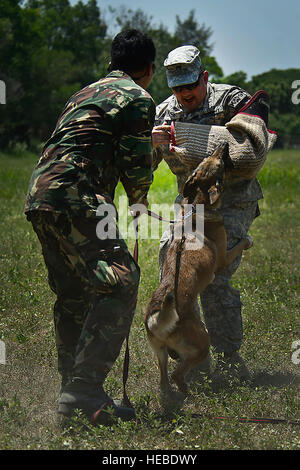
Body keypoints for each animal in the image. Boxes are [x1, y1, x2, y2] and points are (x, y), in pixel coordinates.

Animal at [144, 142, 252, 396]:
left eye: (206, 159)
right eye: (220, 164)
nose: (223, 144)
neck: (196, 205)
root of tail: (159, 321)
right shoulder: (222, 259)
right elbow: (238, 244)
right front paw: (246, 241)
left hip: (160, 352)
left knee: (164, 379)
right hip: (203, 342)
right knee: (178, 374)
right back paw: (188, 391)